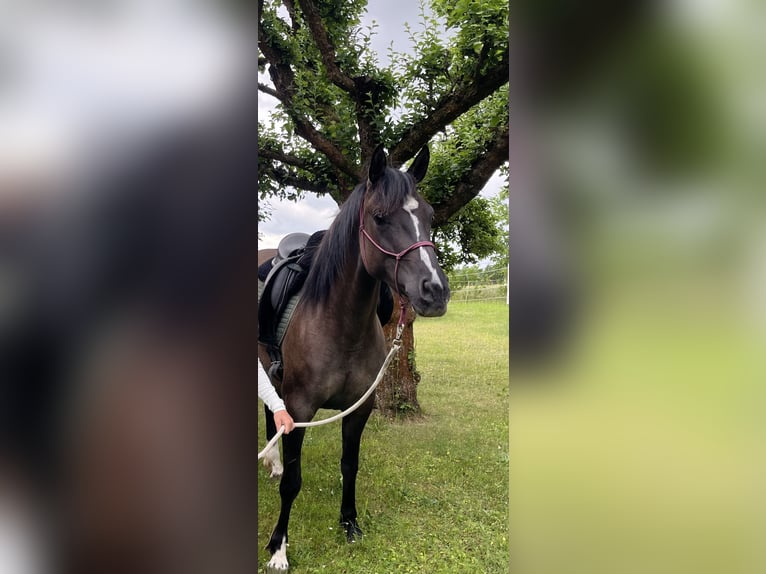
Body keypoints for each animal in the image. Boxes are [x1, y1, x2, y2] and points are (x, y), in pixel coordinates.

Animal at [258, 144, 450, 571]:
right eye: (379, 217)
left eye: (430, 216)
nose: (435, 291)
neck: (337, 322)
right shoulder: (300, 409)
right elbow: (293, 482)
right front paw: (279, 547)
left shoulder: (360, 408)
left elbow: (350, 465)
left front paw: (349, 523)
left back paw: (272, 461)